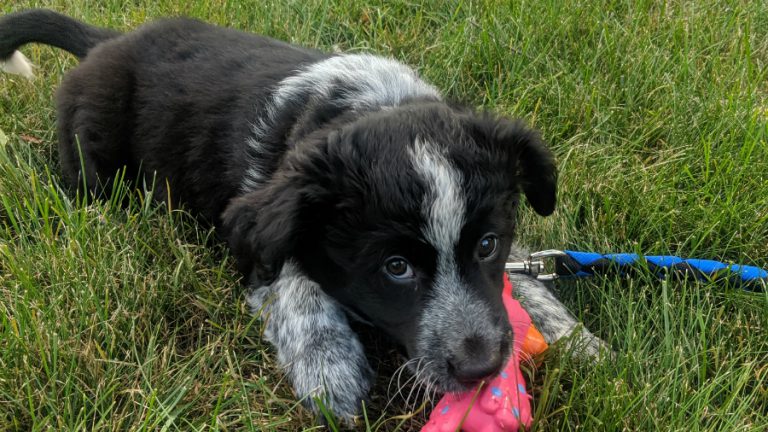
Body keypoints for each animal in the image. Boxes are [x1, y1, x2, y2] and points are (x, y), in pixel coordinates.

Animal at [1, 9, 608, 422]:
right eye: (395, 268)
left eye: (487, 244)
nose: (481, 368)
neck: (372, 106)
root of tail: (108, 41)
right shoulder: (255, 223)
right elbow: (295, 277)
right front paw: (328, 369)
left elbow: (524, 274)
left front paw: (573, 336)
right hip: (94, 152)